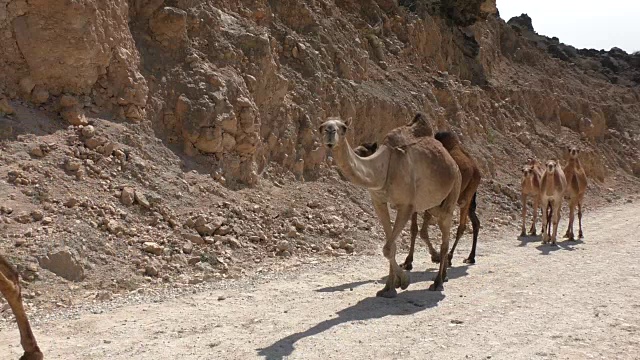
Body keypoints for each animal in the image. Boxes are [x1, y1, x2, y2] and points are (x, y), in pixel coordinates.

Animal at [320, 114, 460, 296]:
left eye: (343, 128)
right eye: (321, 127)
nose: (330, 131)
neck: (384, 168)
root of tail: (453, 163)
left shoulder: (406, 205)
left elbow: (387, 248)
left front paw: (404, 281)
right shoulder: (379, 202)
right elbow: (390, 246)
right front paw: (389, 287)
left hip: (452, 194)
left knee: (445, 240)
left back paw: (438, 282)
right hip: (433, 204)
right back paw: (443, 276)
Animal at [352, 131, 482, 268]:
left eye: (363, 151)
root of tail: (476, 169)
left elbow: (422, 231)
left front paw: (434, 256)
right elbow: (414, 229)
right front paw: (408, 261)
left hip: (466, 195)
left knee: (461, 225)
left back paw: (450, 258)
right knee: (475, 221)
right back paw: (470, 257)